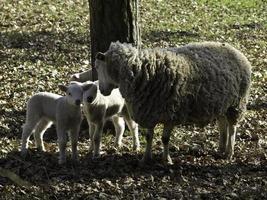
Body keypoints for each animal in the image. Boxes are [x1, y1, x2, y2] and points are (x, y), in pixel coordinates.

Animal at [95, 41, 252, 164]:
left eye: (97, 67)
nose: (102, 91)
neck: (142, 71)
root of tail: (237, 51)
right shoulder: (150, 112)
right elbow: (149, 137)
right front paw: (146, 158)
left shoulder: (171, 113)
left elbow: (165, 139)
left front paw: (167, 160)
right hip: (222, 103)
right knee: (222, 124)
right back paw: (221, 149)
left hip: (237, 103)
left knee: (232, 127)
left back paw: (229, 152)